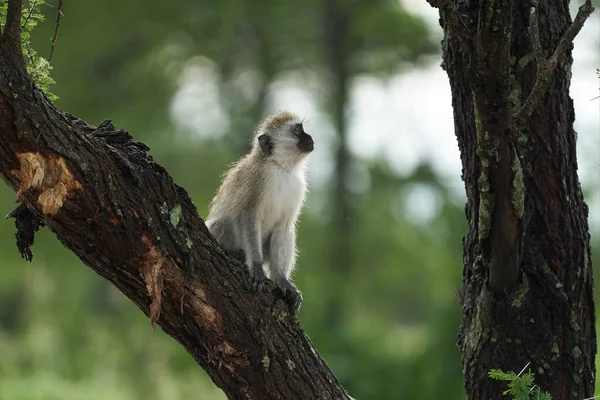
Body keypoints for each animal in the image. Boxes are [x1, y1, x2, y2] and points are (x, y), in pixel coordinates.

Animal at [205, 111, 314, 310]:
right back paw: (237, 253)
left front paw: (281, 279)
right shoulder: (256, 179)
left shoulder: (298, 186)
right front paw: (256, 267)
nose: (309, 137)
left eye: (302, 129)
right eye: (297, 131)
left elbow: (283, 227)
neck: (281, 167)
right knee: (224, 222)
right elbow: (248, 216)